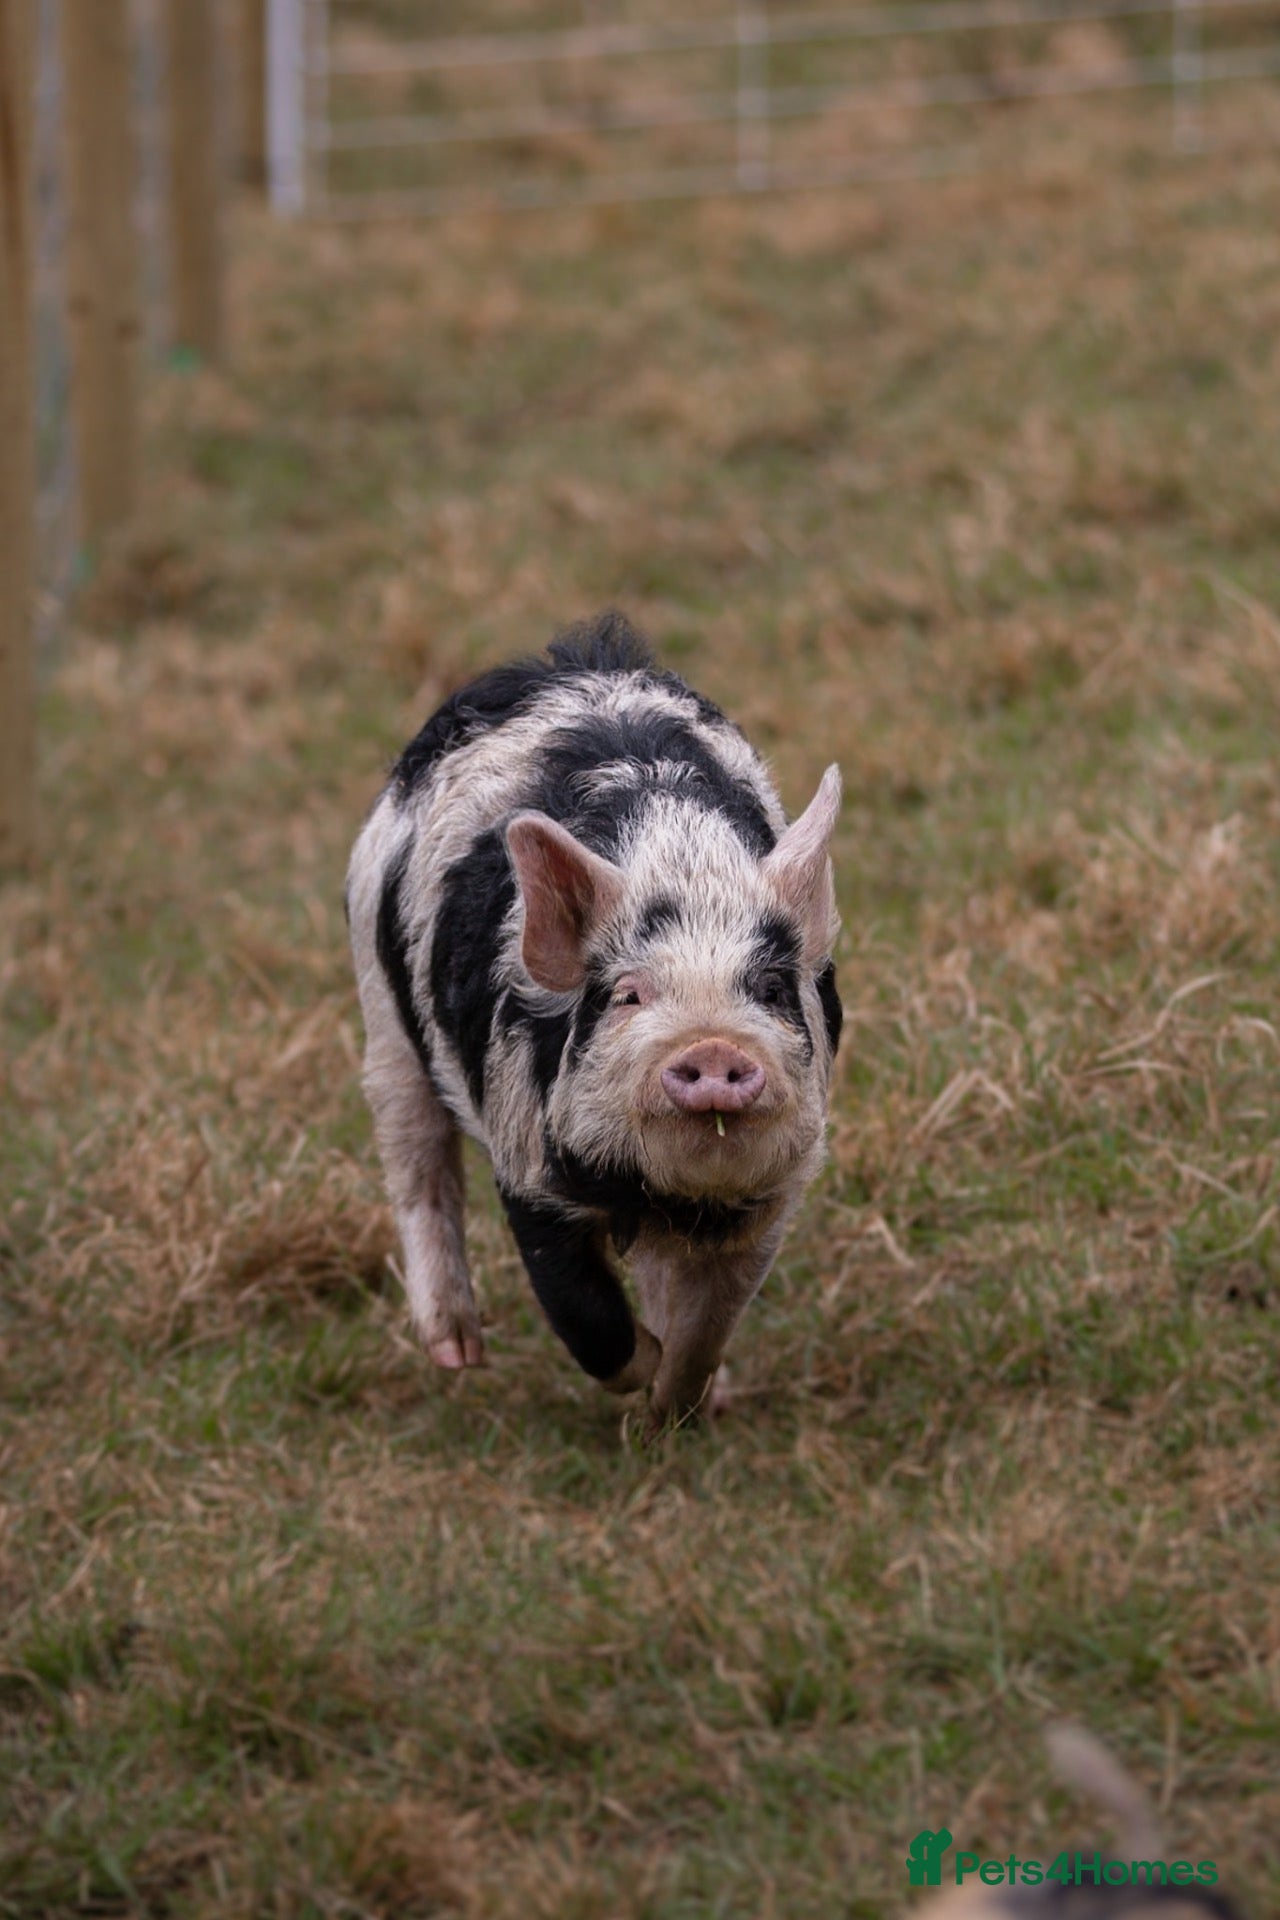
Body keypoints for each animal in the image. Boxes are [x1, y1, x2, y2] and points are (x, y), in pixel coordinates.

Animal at [346, 612, 842, 1434]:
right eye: (628, 995)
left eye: (771, 987)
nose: (713, 1048)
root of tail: (566, 662)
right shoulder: (526, 1152)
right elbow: (582, 1311)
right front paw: (642, 1373)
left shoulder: (769, 1197)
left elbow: (706, 1323)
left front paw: (677, 1408)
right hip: (380, 1014)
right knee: (417, 1163)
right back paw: (456, 1353)